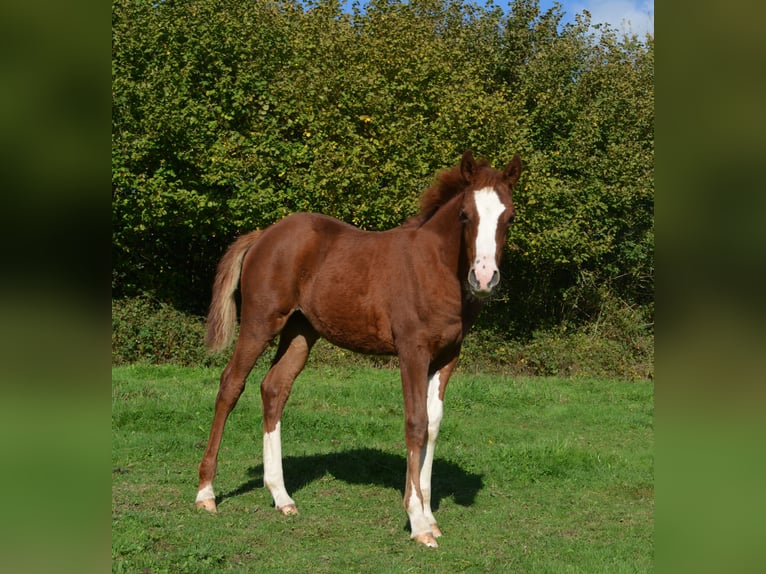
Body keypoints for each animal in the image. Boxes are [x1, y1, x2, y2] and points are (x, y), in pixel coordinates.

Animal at [195, 152, 524, 548]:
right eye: (465, 215)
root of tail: (264, 235)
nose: (485, 278)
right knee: (231, 385)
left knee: (274, 388)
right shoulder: (412, 351)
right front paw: (417, 522)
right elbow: (416, 423)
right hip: (261, 322)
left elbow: (433, 425)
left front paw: (430, 516)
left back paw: (281, 496)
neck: (435, 267)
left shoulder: (447, 357)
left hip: (301, 331)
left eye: (509, 216)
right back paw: (206, 493)